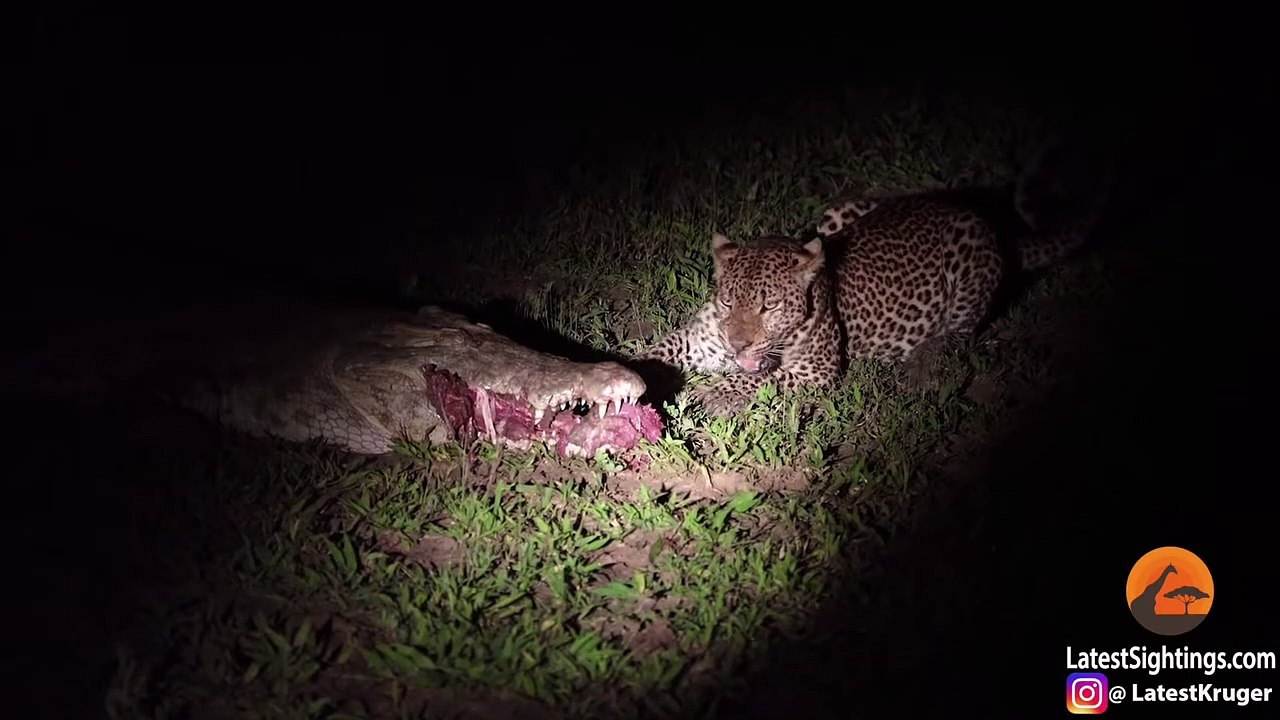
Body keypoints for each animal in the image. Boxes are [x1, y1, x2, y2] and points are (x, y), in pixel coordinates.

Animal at [635, 136, 1116, 415]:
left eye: (769, 306)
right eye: (727, 301)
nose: (738, 344)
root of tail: (991, 224)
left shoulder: (816, 372)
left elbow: (760, 375)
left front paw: (717, 392)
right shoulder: (698, 339)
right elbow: (659, 352)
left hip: (968, 261)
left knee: (961, 332)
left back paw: (923, 362)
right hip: (838, 210)